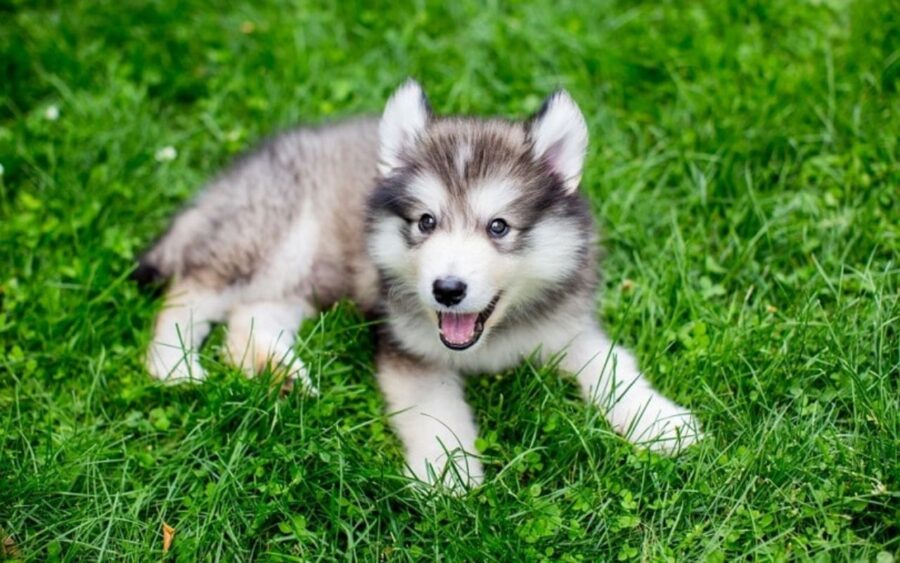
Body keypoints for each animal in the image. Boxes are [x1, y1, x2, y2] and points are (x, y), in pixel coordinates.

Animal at [139, 80, 704, 490]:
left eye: (499, 227)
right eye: (426, 222)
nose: (447, 290)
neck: (491, 341)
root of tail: (224, 182)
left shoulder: (569, 327)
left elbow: (613, 367)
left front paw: (660, 424)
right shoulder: (410, 351)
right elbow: (436, 412)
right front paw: (447, 474)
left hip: (304, 276)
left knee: (249, 317)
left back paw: (278, 374)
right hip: (272, 241)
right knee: (192, 291)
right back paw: (175, 366)